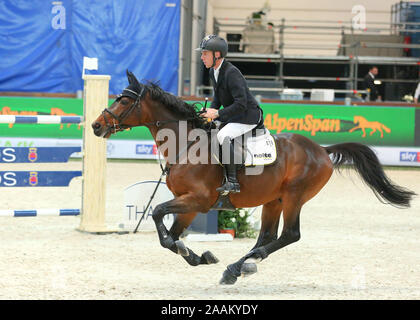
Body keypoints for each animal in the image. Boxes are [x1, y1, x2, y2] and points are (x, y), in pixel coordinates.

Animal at [90, 70, 416, 284]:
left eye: (123, 101)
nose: (95, 125)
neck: (186, 144)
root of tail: (322, 150)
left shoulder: (198, 199)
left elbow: (158, 214)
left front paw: (190, 251)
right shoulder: (189, 203)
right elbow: (170, 234)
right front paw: (198, 256)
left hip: (295, 196)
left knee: (290, 234)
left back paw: (240, 267)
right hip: (274, 199)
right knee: (267, 236)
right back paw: (239, 266)